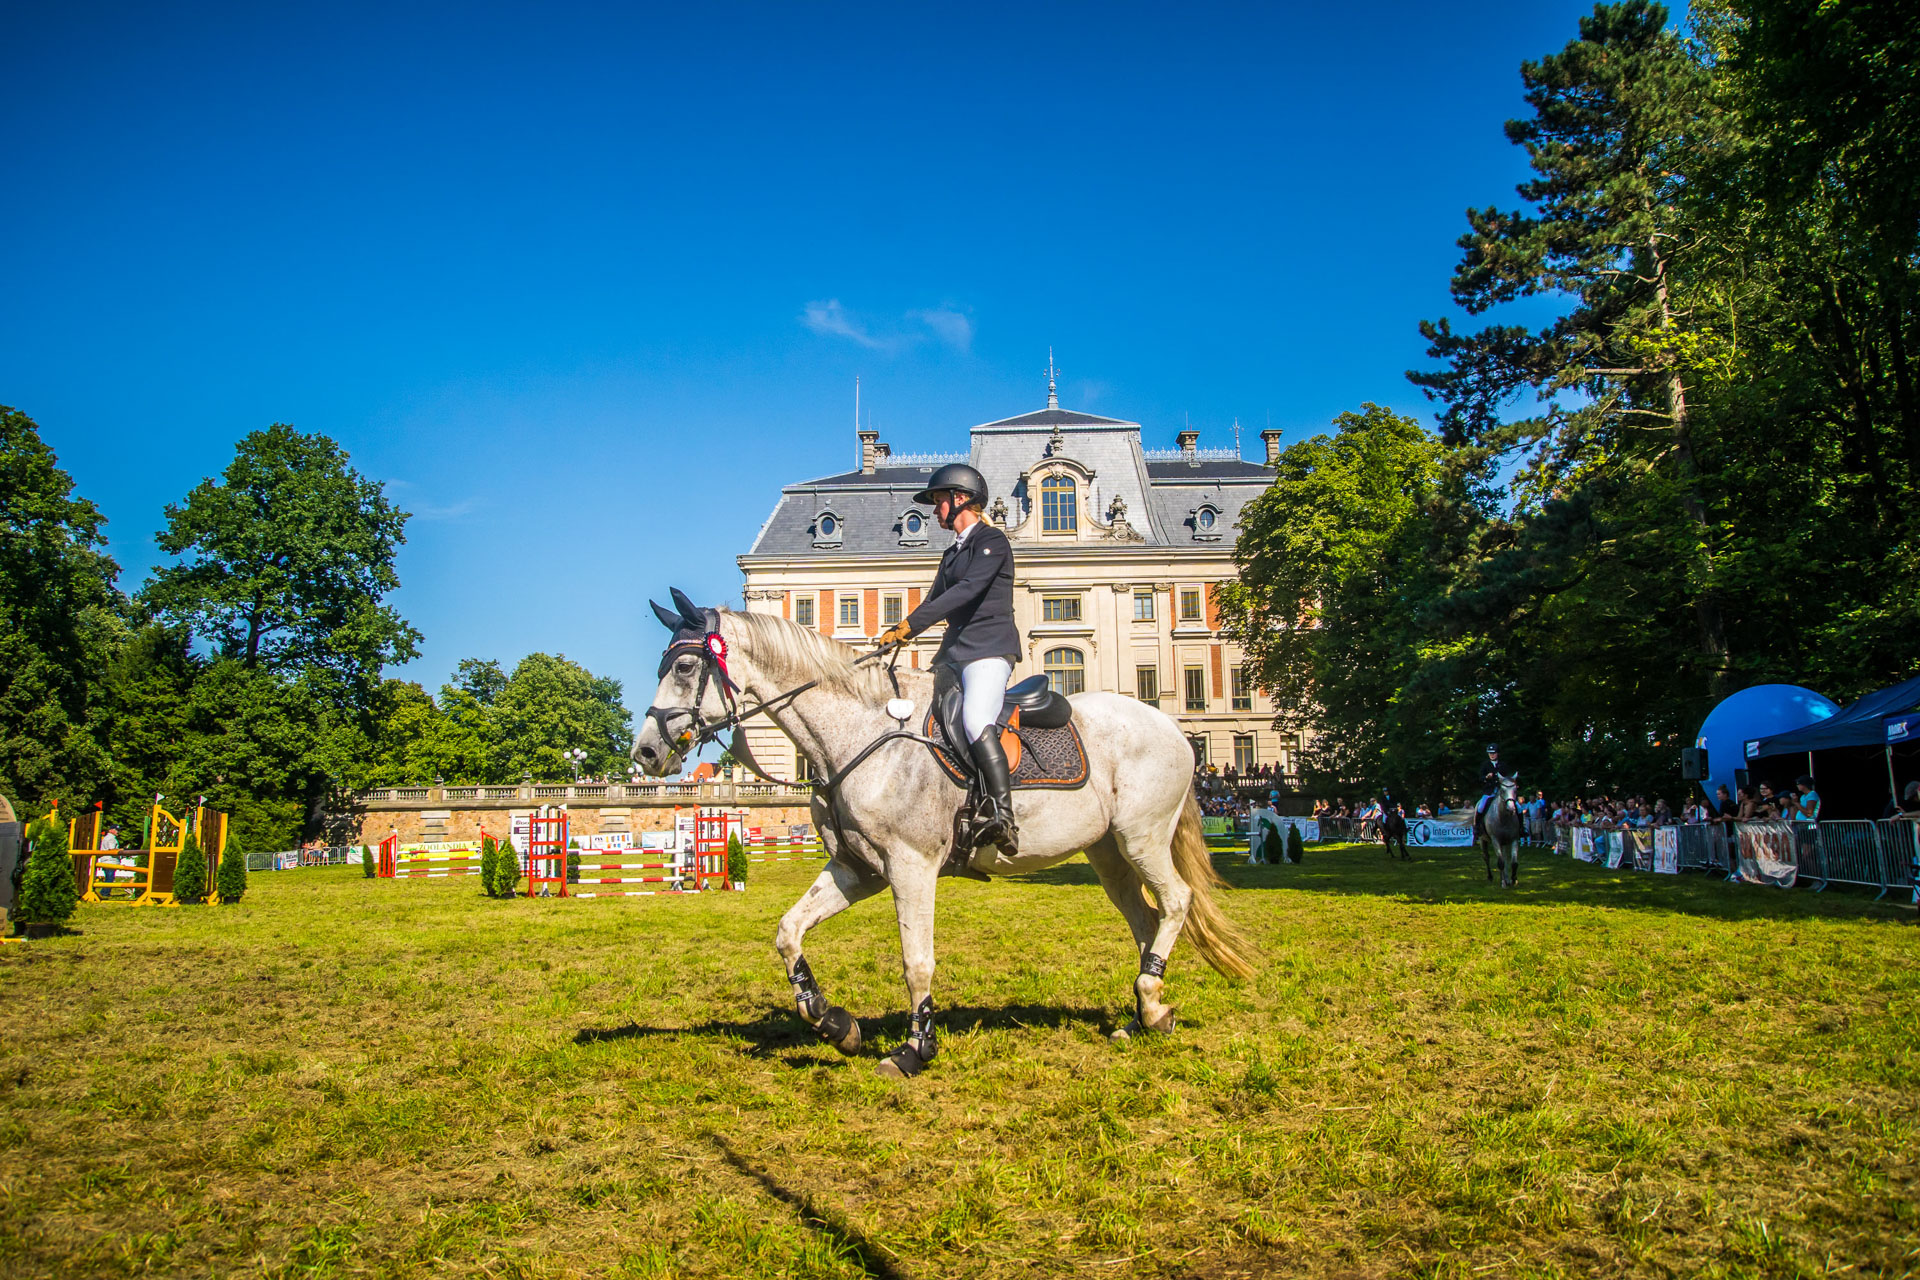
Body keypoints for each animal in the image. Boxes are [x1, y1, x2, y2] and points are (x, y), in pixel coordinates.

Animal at [633, 602, 1259, 1082]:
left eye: (685, 666)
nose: (644, 753)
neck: (860, 733)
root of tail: (1172, 727)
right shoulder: (857, 870)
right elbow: (789, 932)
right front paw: (835, 1023)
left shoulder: (911, 867)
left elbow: (917, 962)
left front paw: (915, 1049)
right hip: (1109, 855)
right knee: (1146, 918)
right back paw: (1145, 1012)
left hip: (1142, 838)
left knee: (1175, 902)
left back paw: (1150, 998)